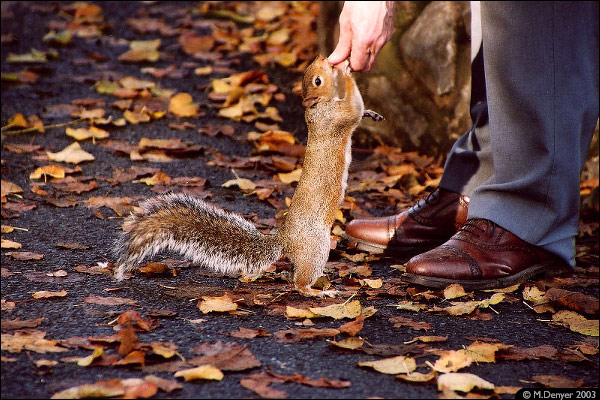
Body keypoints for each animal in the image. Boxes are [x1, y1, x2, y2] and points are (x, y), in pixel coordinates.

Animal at [114, 54, 382, 296]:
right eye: (317, 80)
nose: (323, 58)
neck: (320, 108)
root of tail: (285, 239)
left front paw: (369, 110)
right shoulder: (335, 119)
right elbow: (351, 109)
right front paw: (346, 70)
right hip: (315, 246)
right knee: (299, 282)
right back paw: (315, 291)